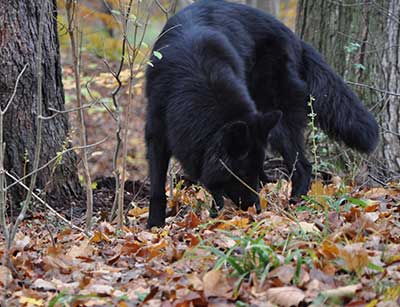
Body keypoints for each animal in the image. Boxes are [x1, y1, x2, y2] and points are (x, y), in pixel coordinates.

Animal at [144, 0, 378, 226]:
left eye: (249, 174)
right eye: (241, 173)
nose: (256, 211)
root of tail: (296, 39)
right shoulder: (156, 135)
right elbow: (157, 188)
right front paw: (156, 224)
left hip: (277, 122)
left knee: (304, 167)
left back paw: (294, 205)